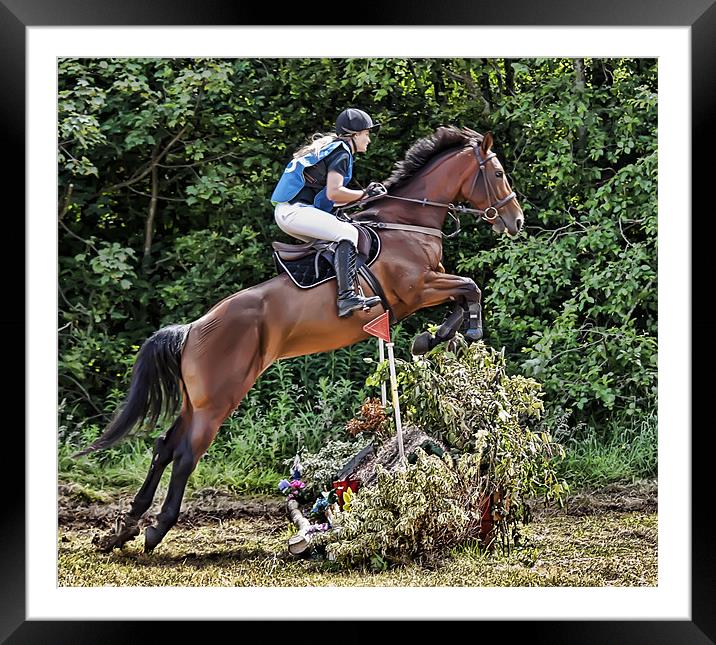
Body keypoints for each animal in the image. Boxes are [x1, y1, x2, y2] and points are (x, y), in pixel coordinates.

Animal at [77, 127, 524, 552]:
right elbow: (471, 287)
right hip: (218, 399)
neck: (408, 223)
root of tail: (192, 330)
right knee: (185, 454)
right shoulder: (416, 289)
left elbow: (464, 293)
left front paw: (435, 338)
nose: (516, 221)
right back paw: (156, 530)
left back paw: (126, 528)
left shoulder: (429, 287)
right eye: (498, 174)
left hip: (195, 400)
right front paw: (460, 333)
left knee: (164, 446)